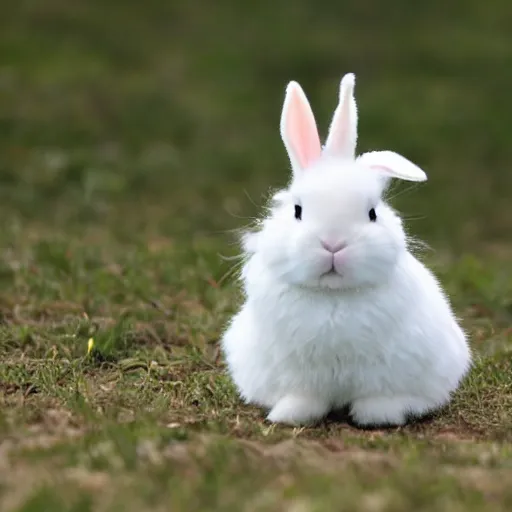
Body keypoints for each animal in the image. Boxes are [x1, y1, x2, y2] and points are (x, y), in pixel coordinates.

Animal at [221, 71, 472, 424]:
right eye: (297, 210)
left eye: (372, 213)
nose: (333, 243)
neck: (334, 295)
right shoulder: (299, 377)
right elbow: (303, 397)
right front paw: (289, 415)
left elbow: (380, 395)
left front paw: (377, 418)